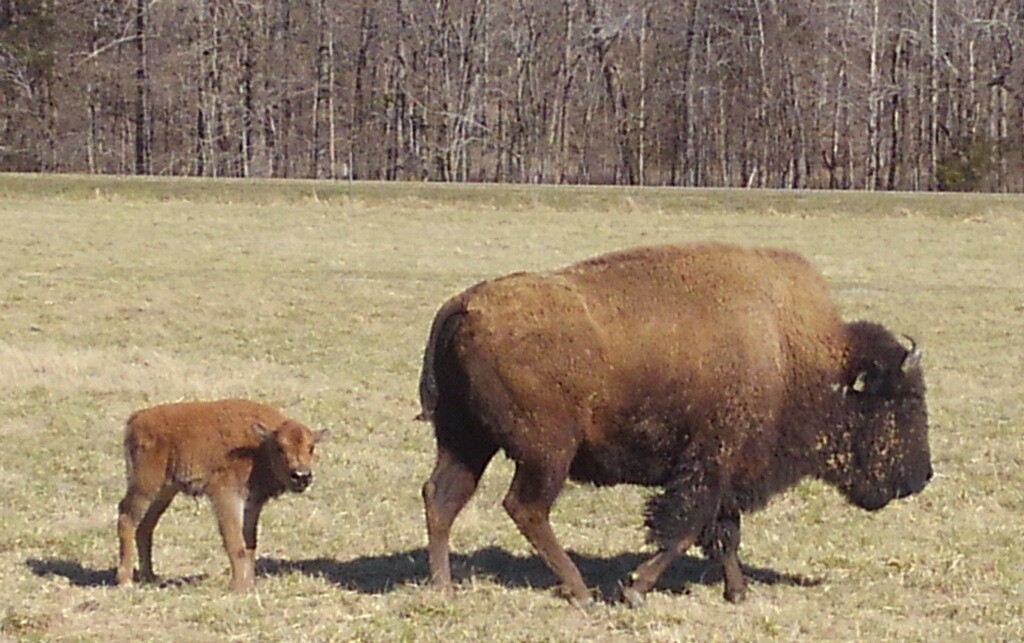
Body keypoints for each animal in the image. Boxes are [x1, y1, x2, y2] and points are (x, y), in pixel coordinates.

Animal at [115, 398, 329, 593]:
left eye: (311, 448)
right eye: (279, 447)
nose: (301, 476)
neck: (257, 448)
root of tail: (136, 419)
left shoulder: (252, 504)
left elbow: (249, 545)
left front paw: (249, 585)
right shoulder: (227, 498)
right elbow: (234, 543)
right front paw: (239, 587)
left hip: (164, 492)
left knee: (145, 527)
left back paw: (149, 577)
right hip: (145, 488)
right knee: (126, 518)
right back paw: (125, 581)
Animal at [417, 242, 932, 607]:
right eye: (901, 402)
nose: (922, 476)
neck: (791, 352)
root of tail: (466, 305)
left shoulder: (725, 474)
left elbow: (724, 534)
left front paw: (738, 592)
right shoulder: (707, 468)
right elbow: (686, 529)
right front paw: (634, 589)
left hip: (466, 440)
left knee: (443, 496)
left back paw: (444, 588)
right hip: (547, 453)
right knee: (525, 507)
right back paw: (580, 592)